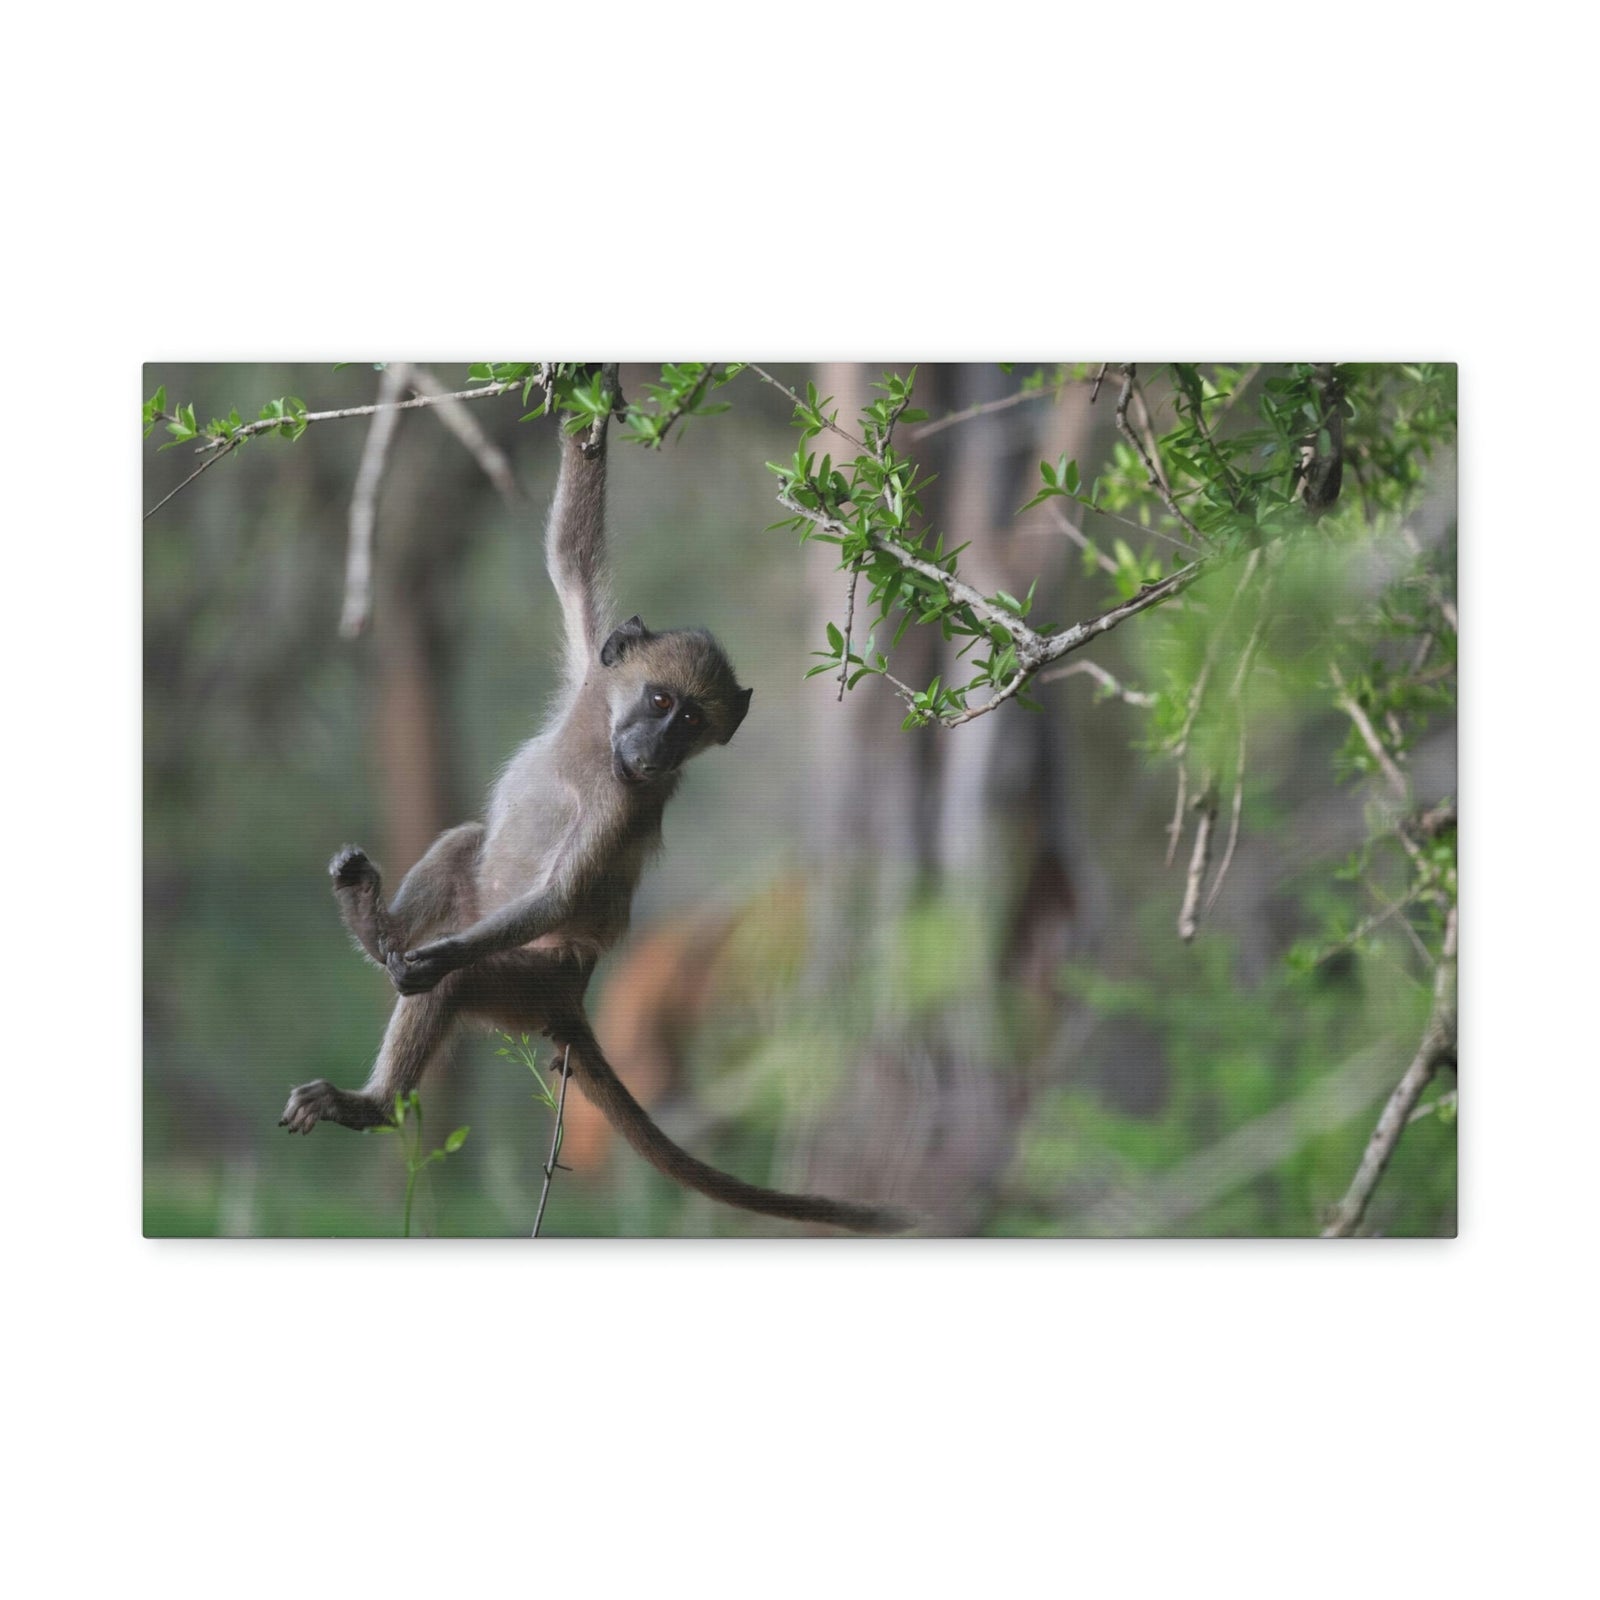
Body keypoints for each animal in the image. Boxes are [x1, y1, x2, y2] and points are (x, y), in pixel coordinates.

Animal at [280, 378, 914, 1235]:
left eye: (693, 723)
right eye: (662, 701)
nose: (655, 750)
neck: (598, 744)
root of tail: (577, 997)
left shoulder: (622, 806)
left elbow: (561, 896)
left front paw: (436, 959)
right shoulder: (593, 669)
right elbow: (570, 554)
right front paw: (592, 384)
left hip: (529, 983)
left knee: (456, 982)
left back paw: (375, 1095)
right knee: (463, 842)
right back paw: (373, 928)